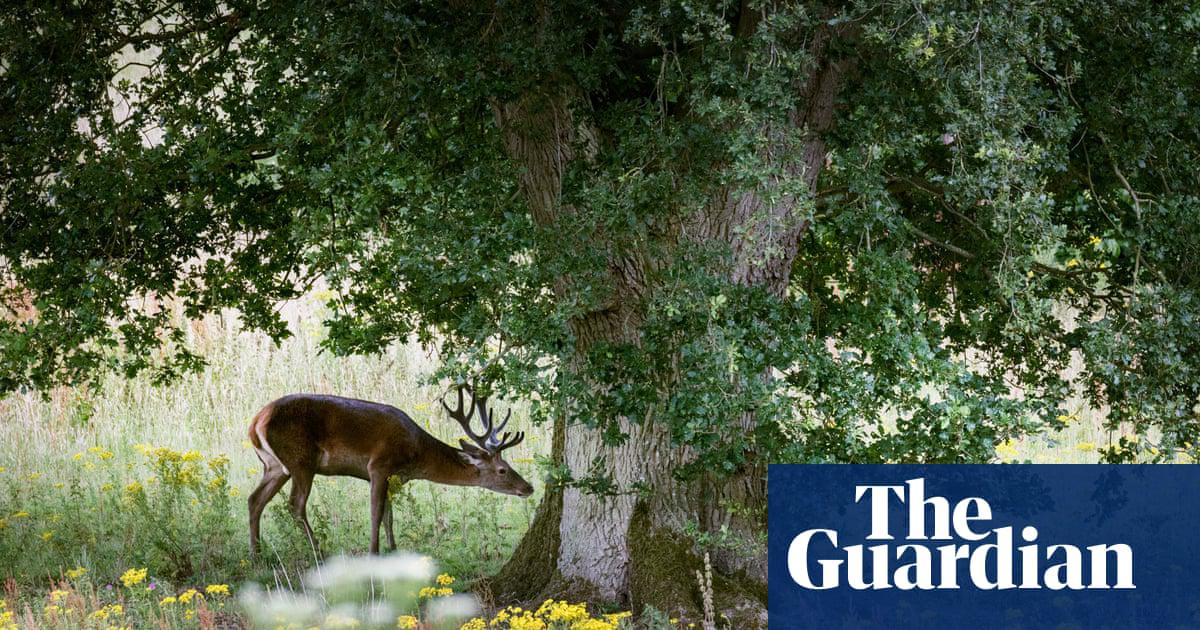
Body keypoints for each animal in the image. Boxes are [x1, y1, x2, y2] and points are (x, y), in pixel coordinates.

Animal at [247, 385, 533, 555]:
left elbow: (389, 515)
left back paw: (257, 554)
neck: (416, 454)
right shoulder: (379, 466)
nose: (529, 487)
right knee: (295, 504)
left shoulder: (395, 477)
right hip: (301, 460)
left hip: (274, 466)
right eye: (503, 470)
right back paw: (319, 552)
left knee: (254, 500)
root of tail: (256, 421)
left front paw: (393, 550)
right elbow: (376, 513)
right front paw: (374, 552)